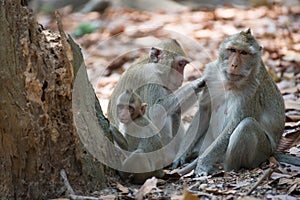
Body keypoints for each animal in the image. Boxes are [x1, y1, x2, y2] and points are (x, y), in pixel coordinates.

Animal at [173, 28, 286, 176]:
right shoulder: (210, 75)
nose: (234, 65)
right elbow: (204, 111)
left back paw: (226, 167)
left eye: (244, 53)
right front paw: (181, 154)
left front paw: (202, 163)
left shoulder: (252, 90)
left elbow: (234, 123)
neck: (228, 82)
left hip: (263, 151)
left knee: (246, 125)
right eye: (232, 50)